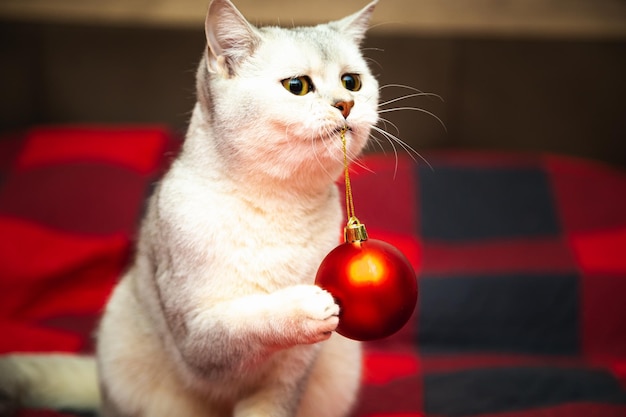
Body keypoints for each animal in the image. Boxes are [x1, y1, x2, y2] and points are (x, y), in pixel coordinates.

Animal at [0, 0, 378, 416]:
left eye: (352, 82)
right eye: (298, 86)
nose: (346, 105)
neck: (279, 205)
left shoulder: (290, 375)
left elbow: (268, 406)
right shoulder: (197, 338)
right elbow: (245, 322)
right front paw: (303, 305)